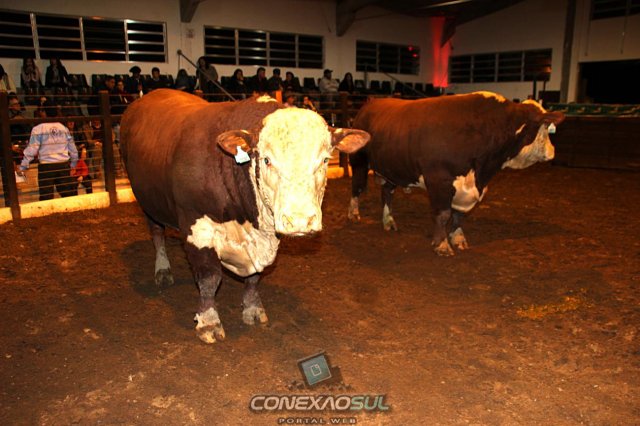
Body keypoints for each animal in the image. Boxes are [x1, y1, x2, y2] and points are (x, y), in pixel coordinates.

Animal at [120, 89, 369, 343]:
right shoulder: (196, 225)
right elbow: (209, 277)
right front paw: (209, 321)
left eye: (325, 160)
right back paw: (162, 270)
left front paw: (252, 308)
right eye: (267, 160)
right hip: (149, 202)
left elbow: (255, 277)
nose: (300, 220)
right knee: (157, 233)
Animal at [348, 91, 564, 256]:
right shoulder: (439, 180)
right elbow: (443, 214)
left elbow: (459, 215)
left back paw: (388, 221)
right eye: (545, 127)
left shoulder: (470, 186)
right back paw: (353, 214)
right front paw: (442, 245)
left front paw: (459, 239)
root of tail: (370, 103)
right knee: (357, 188)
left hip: (392, 168)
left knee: (387, 193)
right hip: (359, 161)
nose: (553, 151)